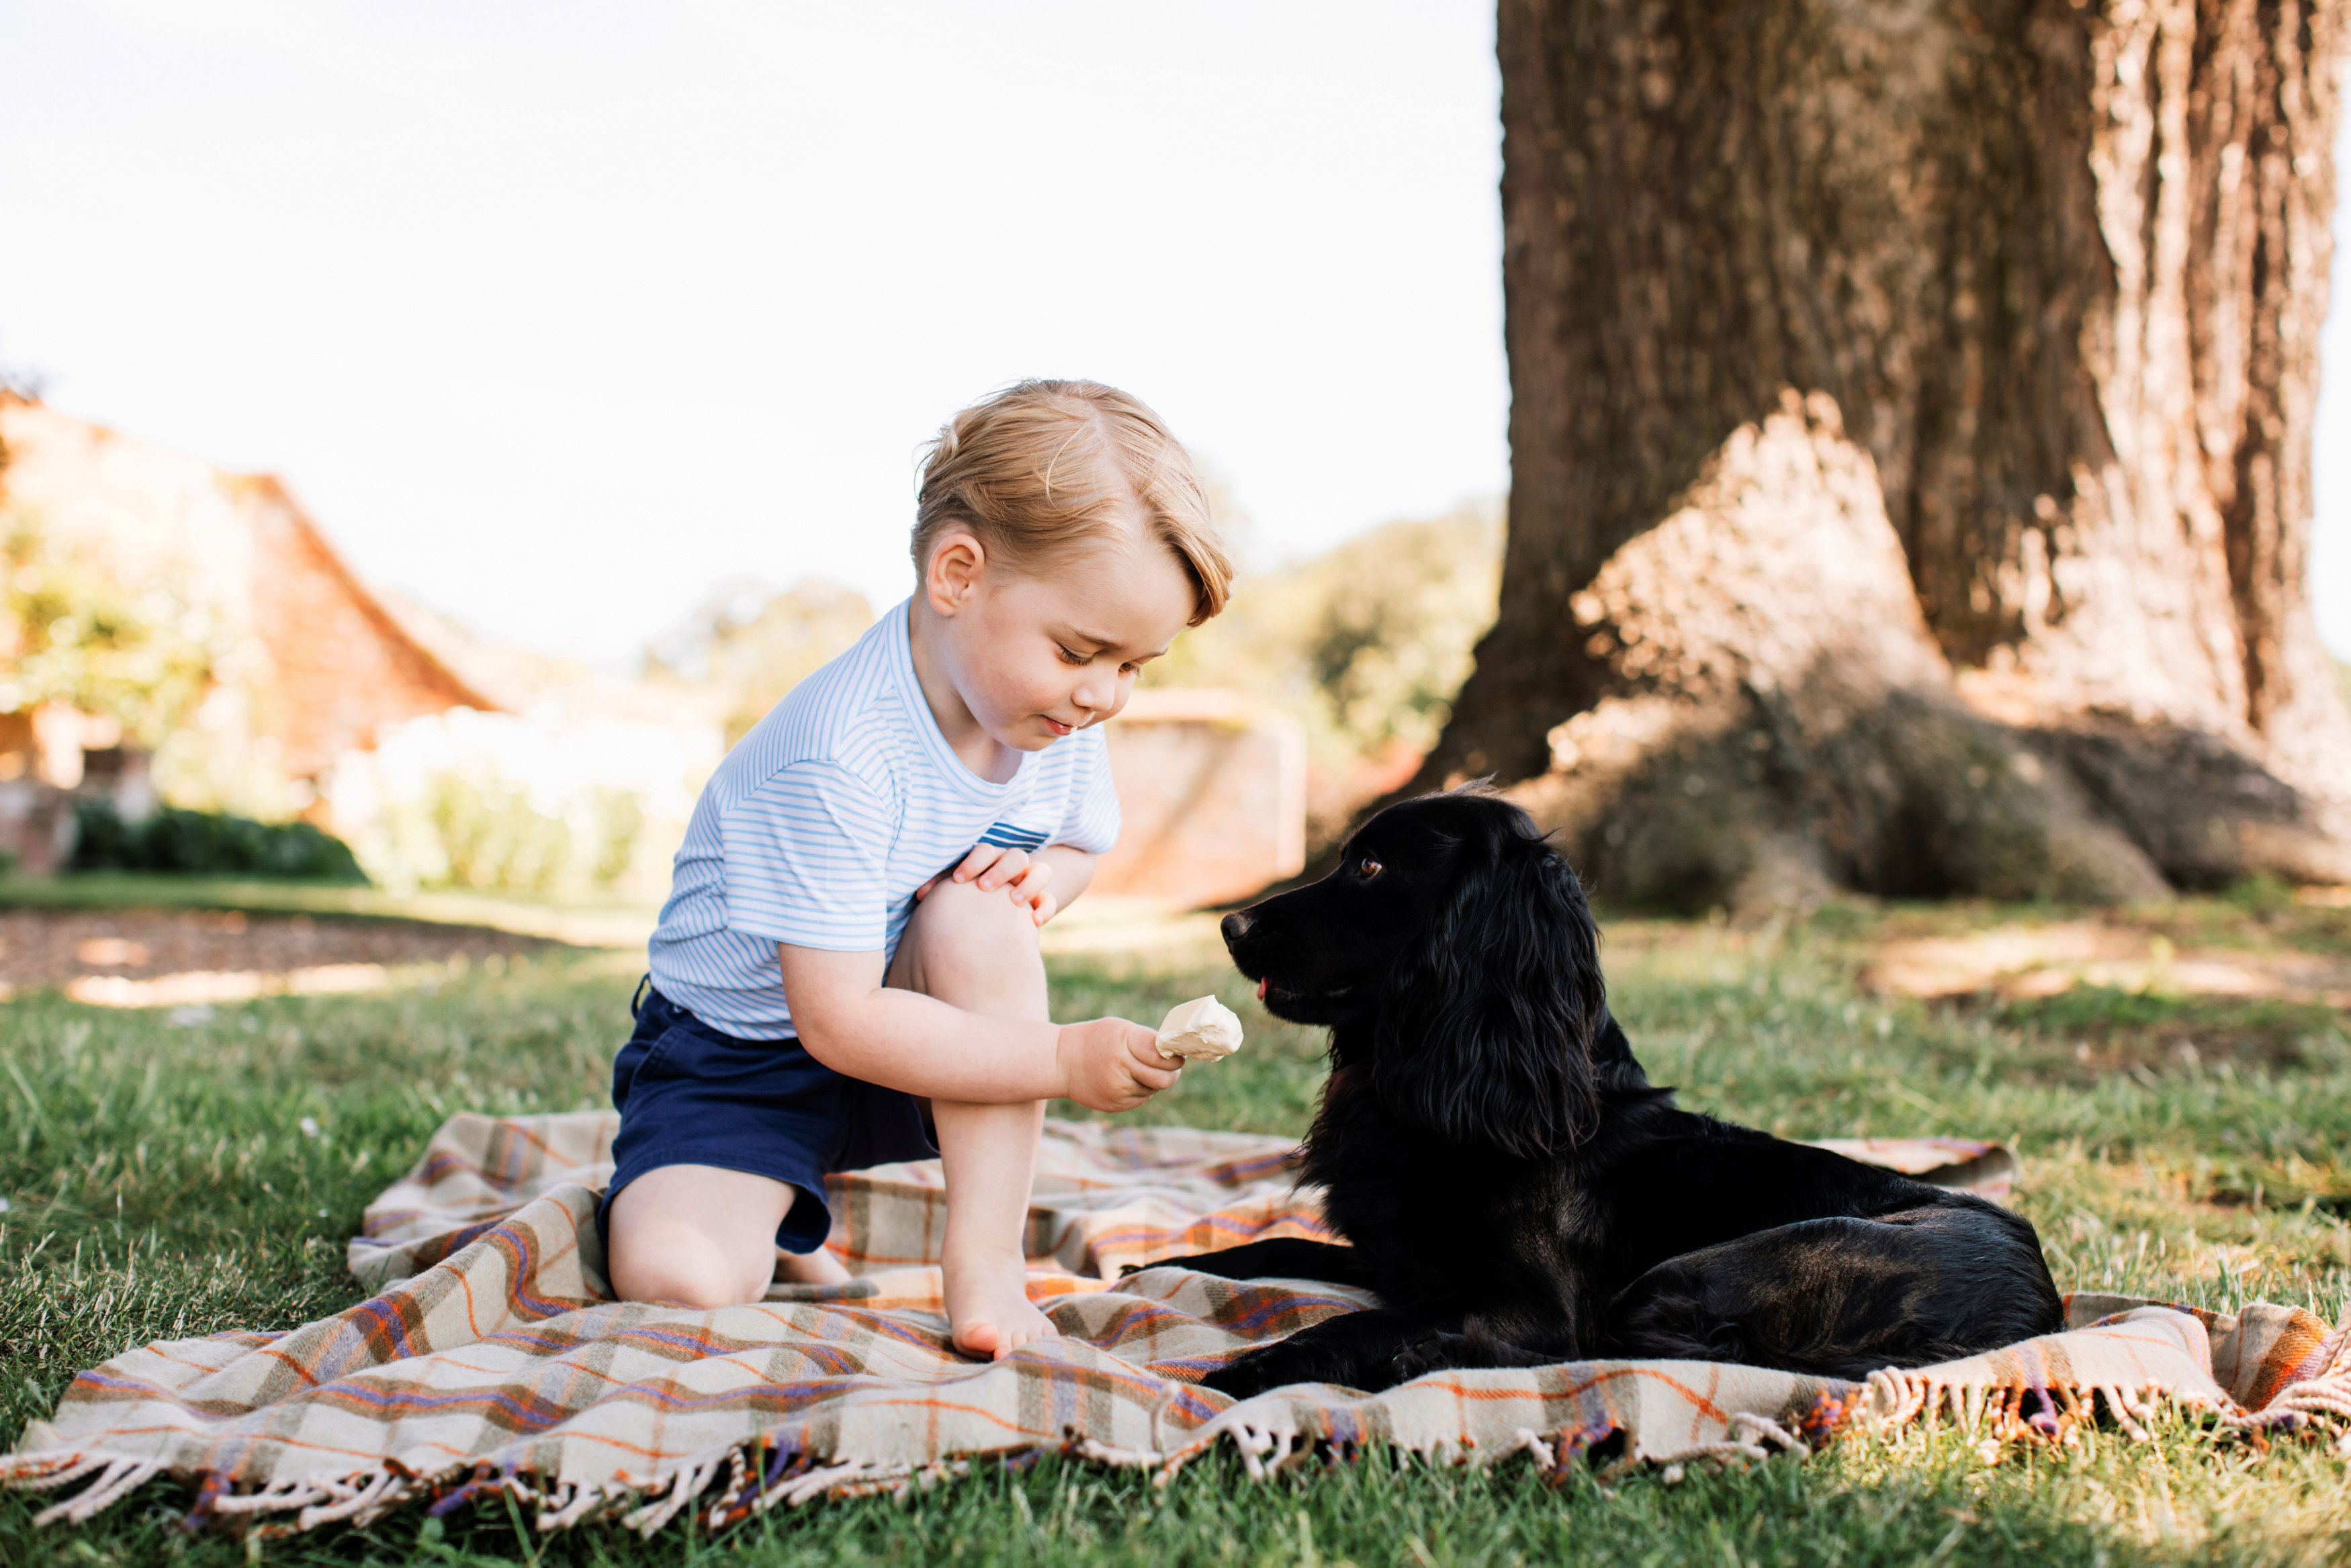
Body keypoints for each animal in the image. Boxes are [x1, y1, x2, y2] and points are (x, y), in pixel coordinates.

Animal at [1166, 799, 2069, 1401]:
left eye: (1370, 865)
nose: (1230, 924)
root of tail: (2037, 1313)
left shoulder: (1526, 1302)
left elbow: (1364, 1321)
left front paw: (1256, 1366)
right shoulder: (1401, 1262)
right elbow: (1268, 1247)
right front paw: (1157, 1266)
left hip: (1694, 1276)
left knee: (1637, 1354)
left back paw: (1419, 1363)